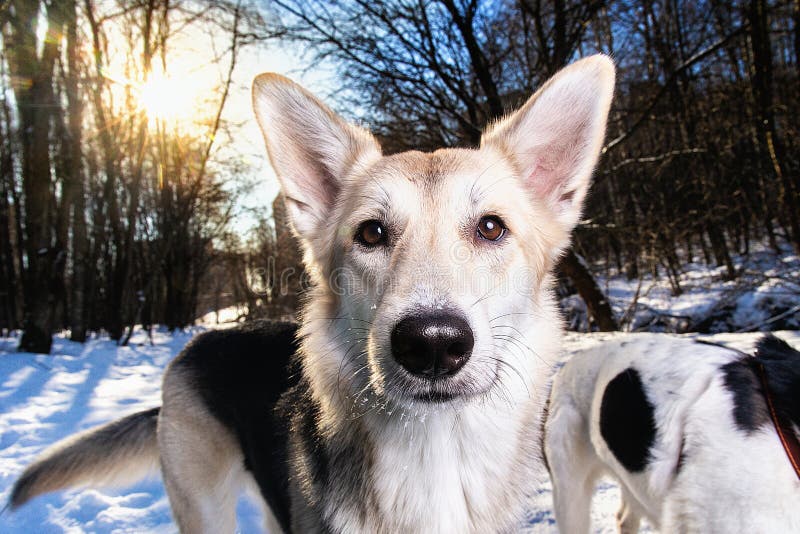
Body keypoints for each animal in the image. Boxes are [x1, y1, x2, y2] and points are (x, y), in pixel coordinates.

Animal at [9, 56, 616, 532]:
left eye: (491, 228)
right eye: (371, 233)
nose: (432, 344)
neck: (435, 456)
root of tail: (198, 346)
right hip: (205, 508)